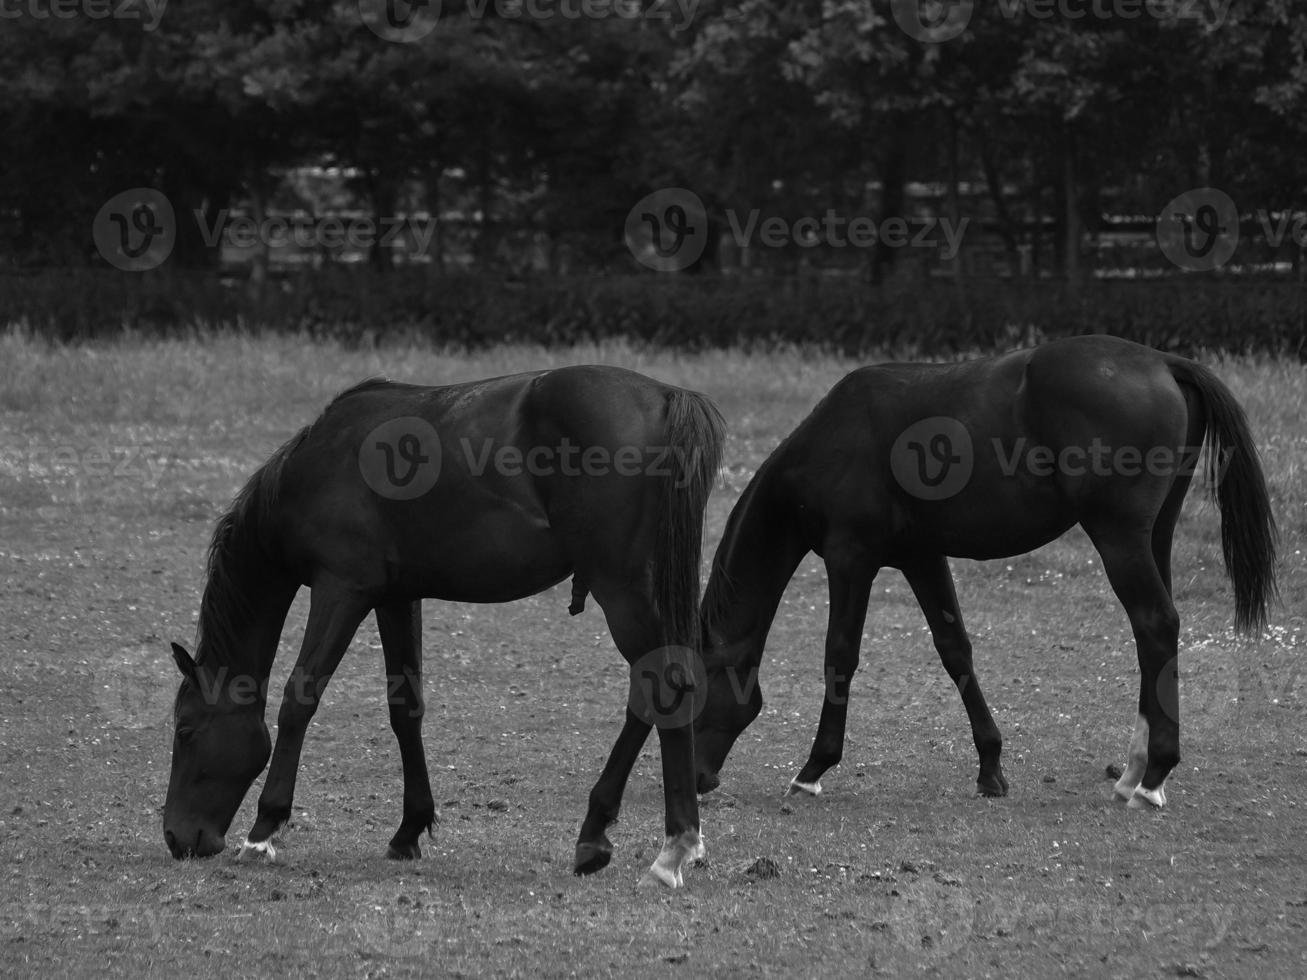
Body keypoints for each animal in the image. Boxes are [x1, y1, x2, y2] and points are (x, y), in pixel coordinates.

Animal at [163, 368, 726, 888]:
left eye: (185, 730)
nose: (175, 837)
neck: (319, 463)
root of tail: (666, 396)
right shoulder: (395, 598)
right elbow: (404, 709)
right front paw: (408, 829)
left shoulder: (340, 589)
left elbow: (299, 698)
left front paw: (263, 830)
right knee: (659, 691)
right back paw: (619, 836)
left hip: (620, 588)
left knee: (662, 686)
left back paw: (667, 850)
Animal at [695, 337, 1275, 815]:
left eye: (691, 686)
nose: (697, 779)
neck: (834, 440)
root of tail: (1163, 362)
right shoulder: (922, 557)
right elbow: (955, 649)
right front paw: (991, 768)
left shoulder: (849, 560)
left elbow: (840, 655)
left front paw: (813, 769)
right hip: (1154, 536)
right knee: (1154, 635)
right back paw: (1133, 772)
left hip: (1119, 539)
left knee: (1155, 624)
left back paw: (1153, 778)